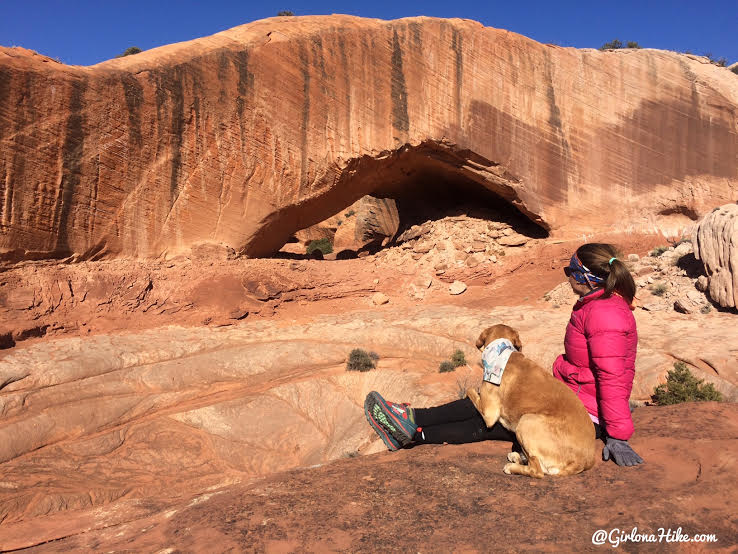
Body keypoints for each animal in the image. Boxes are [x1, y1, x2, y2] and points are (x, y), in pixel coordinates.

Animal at [468, 324, 596, 474]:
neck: (504, 354)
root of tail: (583, 462)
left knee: (537, 470)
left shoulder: (489, 414)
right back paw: (517, 457)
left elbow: (469, 390)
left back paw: (512, 467)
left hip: (526, 421)